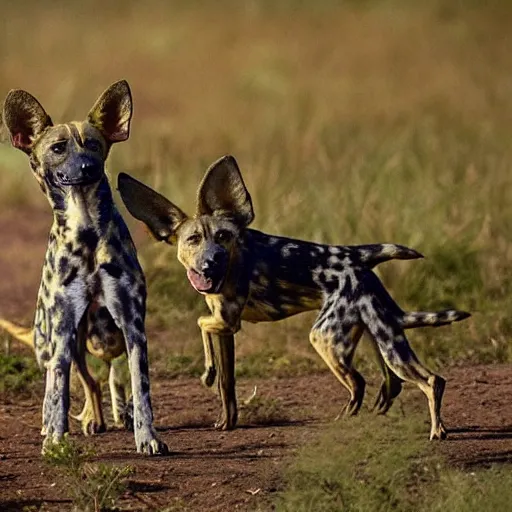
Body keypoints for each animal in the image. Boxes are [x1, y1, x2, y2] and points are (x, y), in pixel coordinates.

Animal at [0, 80, 168, 456]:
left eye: (93, 144)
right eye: (58, 148)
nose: (88, 167)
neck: (87, 231)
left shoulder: (133, 329)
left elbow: (141, 389)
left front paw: (147, 437)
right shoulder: (63, 331)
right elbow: (60, 394)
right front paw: (56, 440)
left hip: (100, 339)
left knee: (105, 378)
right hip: (57, 341)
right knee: (67, 379)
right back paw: (62, 425)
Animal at [118, 155, 470, 440]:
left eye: (223, 236)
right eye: (193, 240)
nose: (211, 263)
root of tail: (356, 257)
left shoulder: (225, 322)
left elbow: (200, 325)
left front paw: (206, 373)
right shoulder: (226, 329)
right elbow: (227, 386)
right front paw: (225, 417)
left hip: (328, 340)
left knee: (389, 382)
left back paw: (424, 429)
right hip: (381, 335)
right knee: (402, 382)